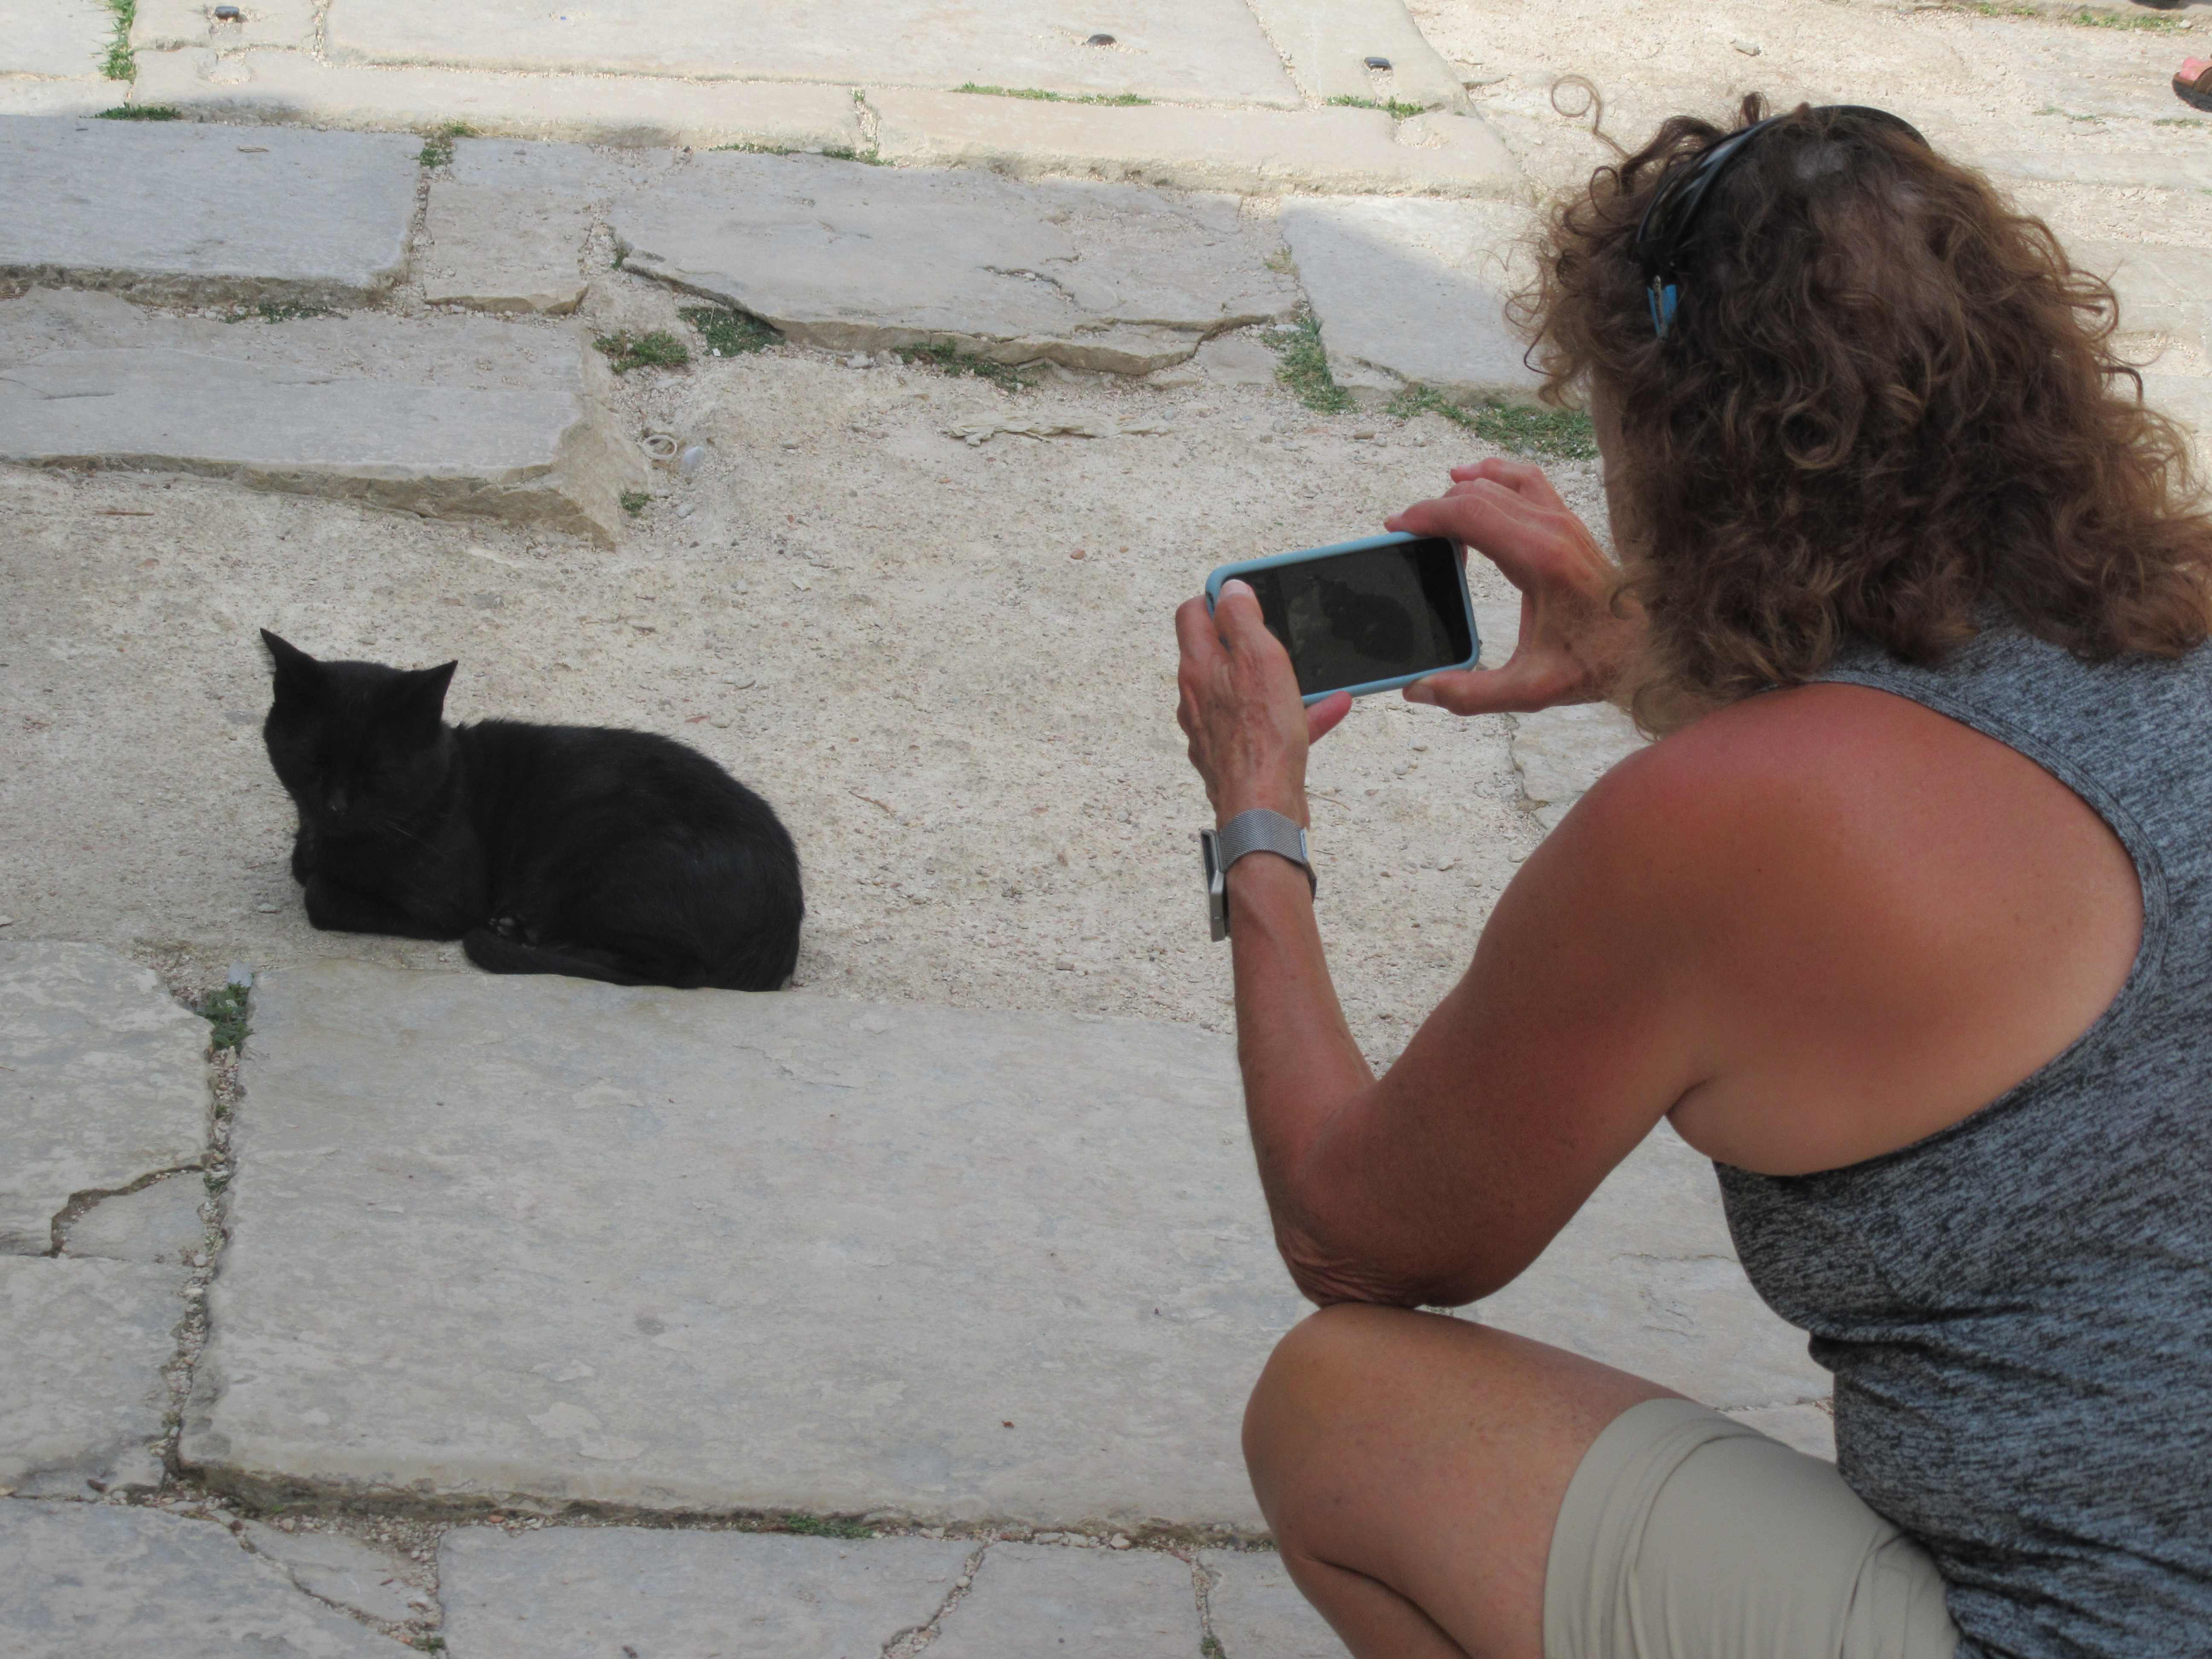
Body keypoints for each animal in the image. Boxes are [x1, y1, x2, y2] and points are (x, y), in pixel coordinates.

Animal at [258, 630, 803, 991]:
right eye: (308, 761)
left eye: (380, 772)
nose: (335, 805)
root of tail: (782, 924)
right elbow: (304, 867)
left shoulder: (446, 905)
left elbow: (319, 895)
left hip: (615, 864)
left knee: (674, 970)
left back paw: (529, 940)